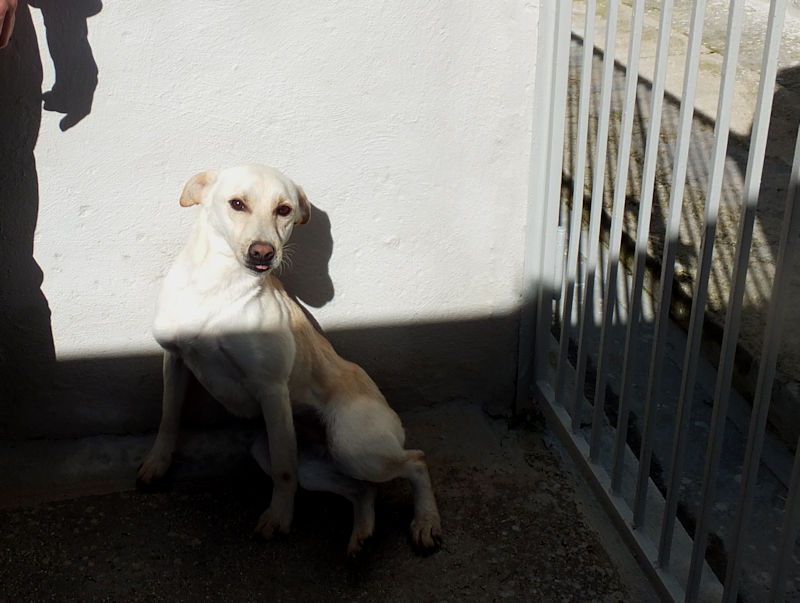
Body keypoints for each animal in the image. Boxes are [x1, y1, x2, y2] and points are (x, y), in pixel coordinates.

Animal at [137, 164, 442, 554]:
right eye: (237, 204)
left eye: (284, 210)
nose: (263, 253)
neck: (217, 288)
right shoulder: (174, 359)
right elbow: (168, 417)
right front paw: (157, 463)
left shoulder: (272, 390)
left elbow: (284, 472)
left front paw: (279, 517)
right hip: (285, 454)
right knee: (362, 489)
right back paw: (361, 535)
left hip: (354, 446)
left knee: (416, 460)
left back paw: (425, 522)